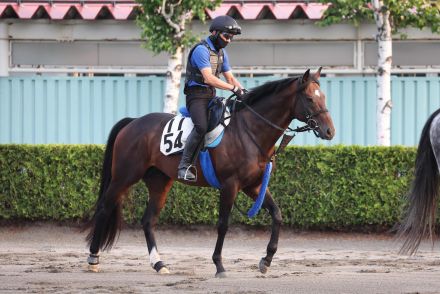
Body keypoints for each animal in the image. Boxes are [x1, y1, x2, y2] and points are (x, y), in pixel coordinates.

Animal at [84, 68, 336, 276]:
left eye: (323, 96)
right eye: (310, 98)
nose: (329, 131)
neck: (249, 131)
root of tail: (133, 122)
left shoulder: (253, 186)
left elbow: (277, 214)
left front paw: (266, 260)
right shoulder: (230, 186)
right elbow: (223, 224)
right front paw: (219, 264)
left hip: (159, 182)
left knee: (148, 220)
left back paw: (159, 263)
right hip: (124, 177)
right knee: (105, 208)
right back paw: (93, 258)